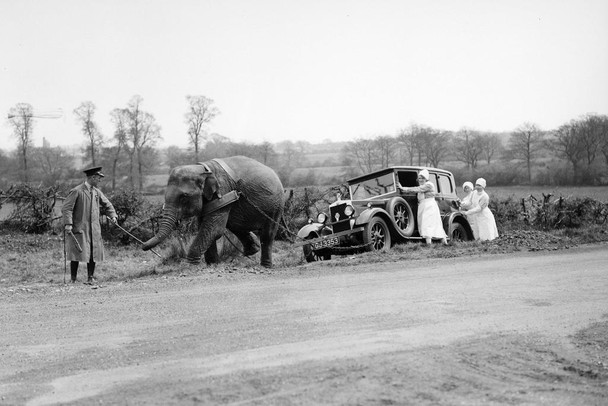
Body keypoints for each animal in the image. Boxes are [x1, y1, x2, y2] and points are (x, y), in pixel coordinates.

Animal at [142, 157, 284, 268]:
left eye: (184, 197)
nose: (143, 245)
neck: (202, 169)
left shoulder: (223, 190)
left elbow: (213, 229)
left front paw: (189, 266)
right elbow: (206, 227)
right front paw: (213, 264)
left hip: (276, 205)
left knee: (267, 234)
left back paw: (265, 265)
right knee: (236, 225)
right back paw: (252, 250)